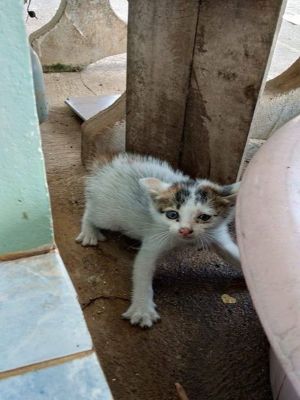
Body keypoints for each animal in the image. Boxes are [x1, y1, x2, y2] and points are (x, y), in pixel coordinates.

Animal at [76, 153, 240, 328]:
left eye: (204, 217)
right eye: (172, 215)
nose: (185, 230)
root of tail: (109, 165)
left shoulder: (216, 233)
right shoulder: (156, 237)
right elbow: (142, 268)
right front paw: (142, 310)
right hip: (109, 216)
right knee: (92, 211)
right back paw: (89, 231)